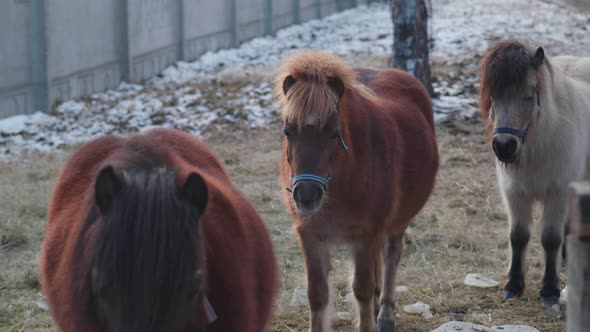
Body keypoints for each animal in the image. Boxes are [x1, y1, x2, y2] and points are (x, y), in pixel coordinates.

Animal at [274, 50, 440, 332]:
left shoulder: (366, 235)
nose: (306, 195)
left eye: (333, 133)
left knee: (391, 257)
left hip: (396, 224)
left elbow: (362, 289)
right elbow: (317, 295)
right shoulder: (310, 236)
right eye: (288, 131)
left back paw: (384, 314)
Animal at [480, 40, 590, 304]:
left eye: (529, 94)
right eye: (494, 95)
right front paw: (514, 285)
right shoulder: (515, 193)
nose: (504, 146)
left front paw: (549, 290)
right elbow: (518, 236)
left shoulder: (558, 193)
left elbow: (550, 238)